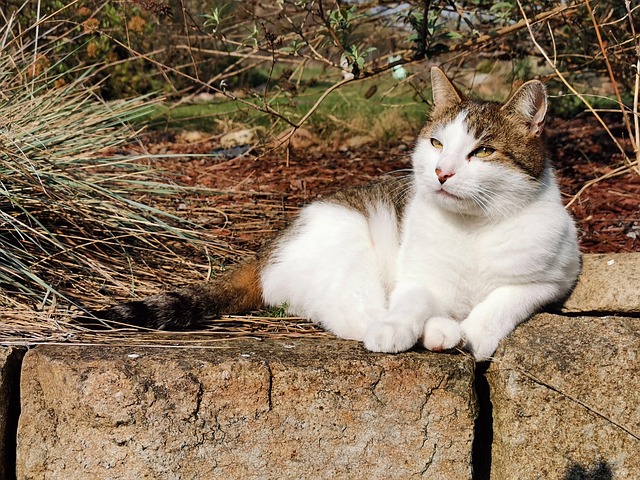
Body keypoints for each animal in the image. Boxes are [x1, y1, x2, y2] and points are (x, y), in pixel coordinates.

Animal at [97, 67, 584, 360]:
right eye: (436, 143)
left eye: (483, 151)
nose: (442, 172)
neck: (474, 227)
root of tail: (265, 249)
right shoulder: (415, 280)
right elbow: (408, 302)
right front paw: (410, 327)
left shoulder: (551, 281)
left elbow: (500, 304)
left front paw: (472, 334)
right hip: (348, 239)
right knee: (351, 313)